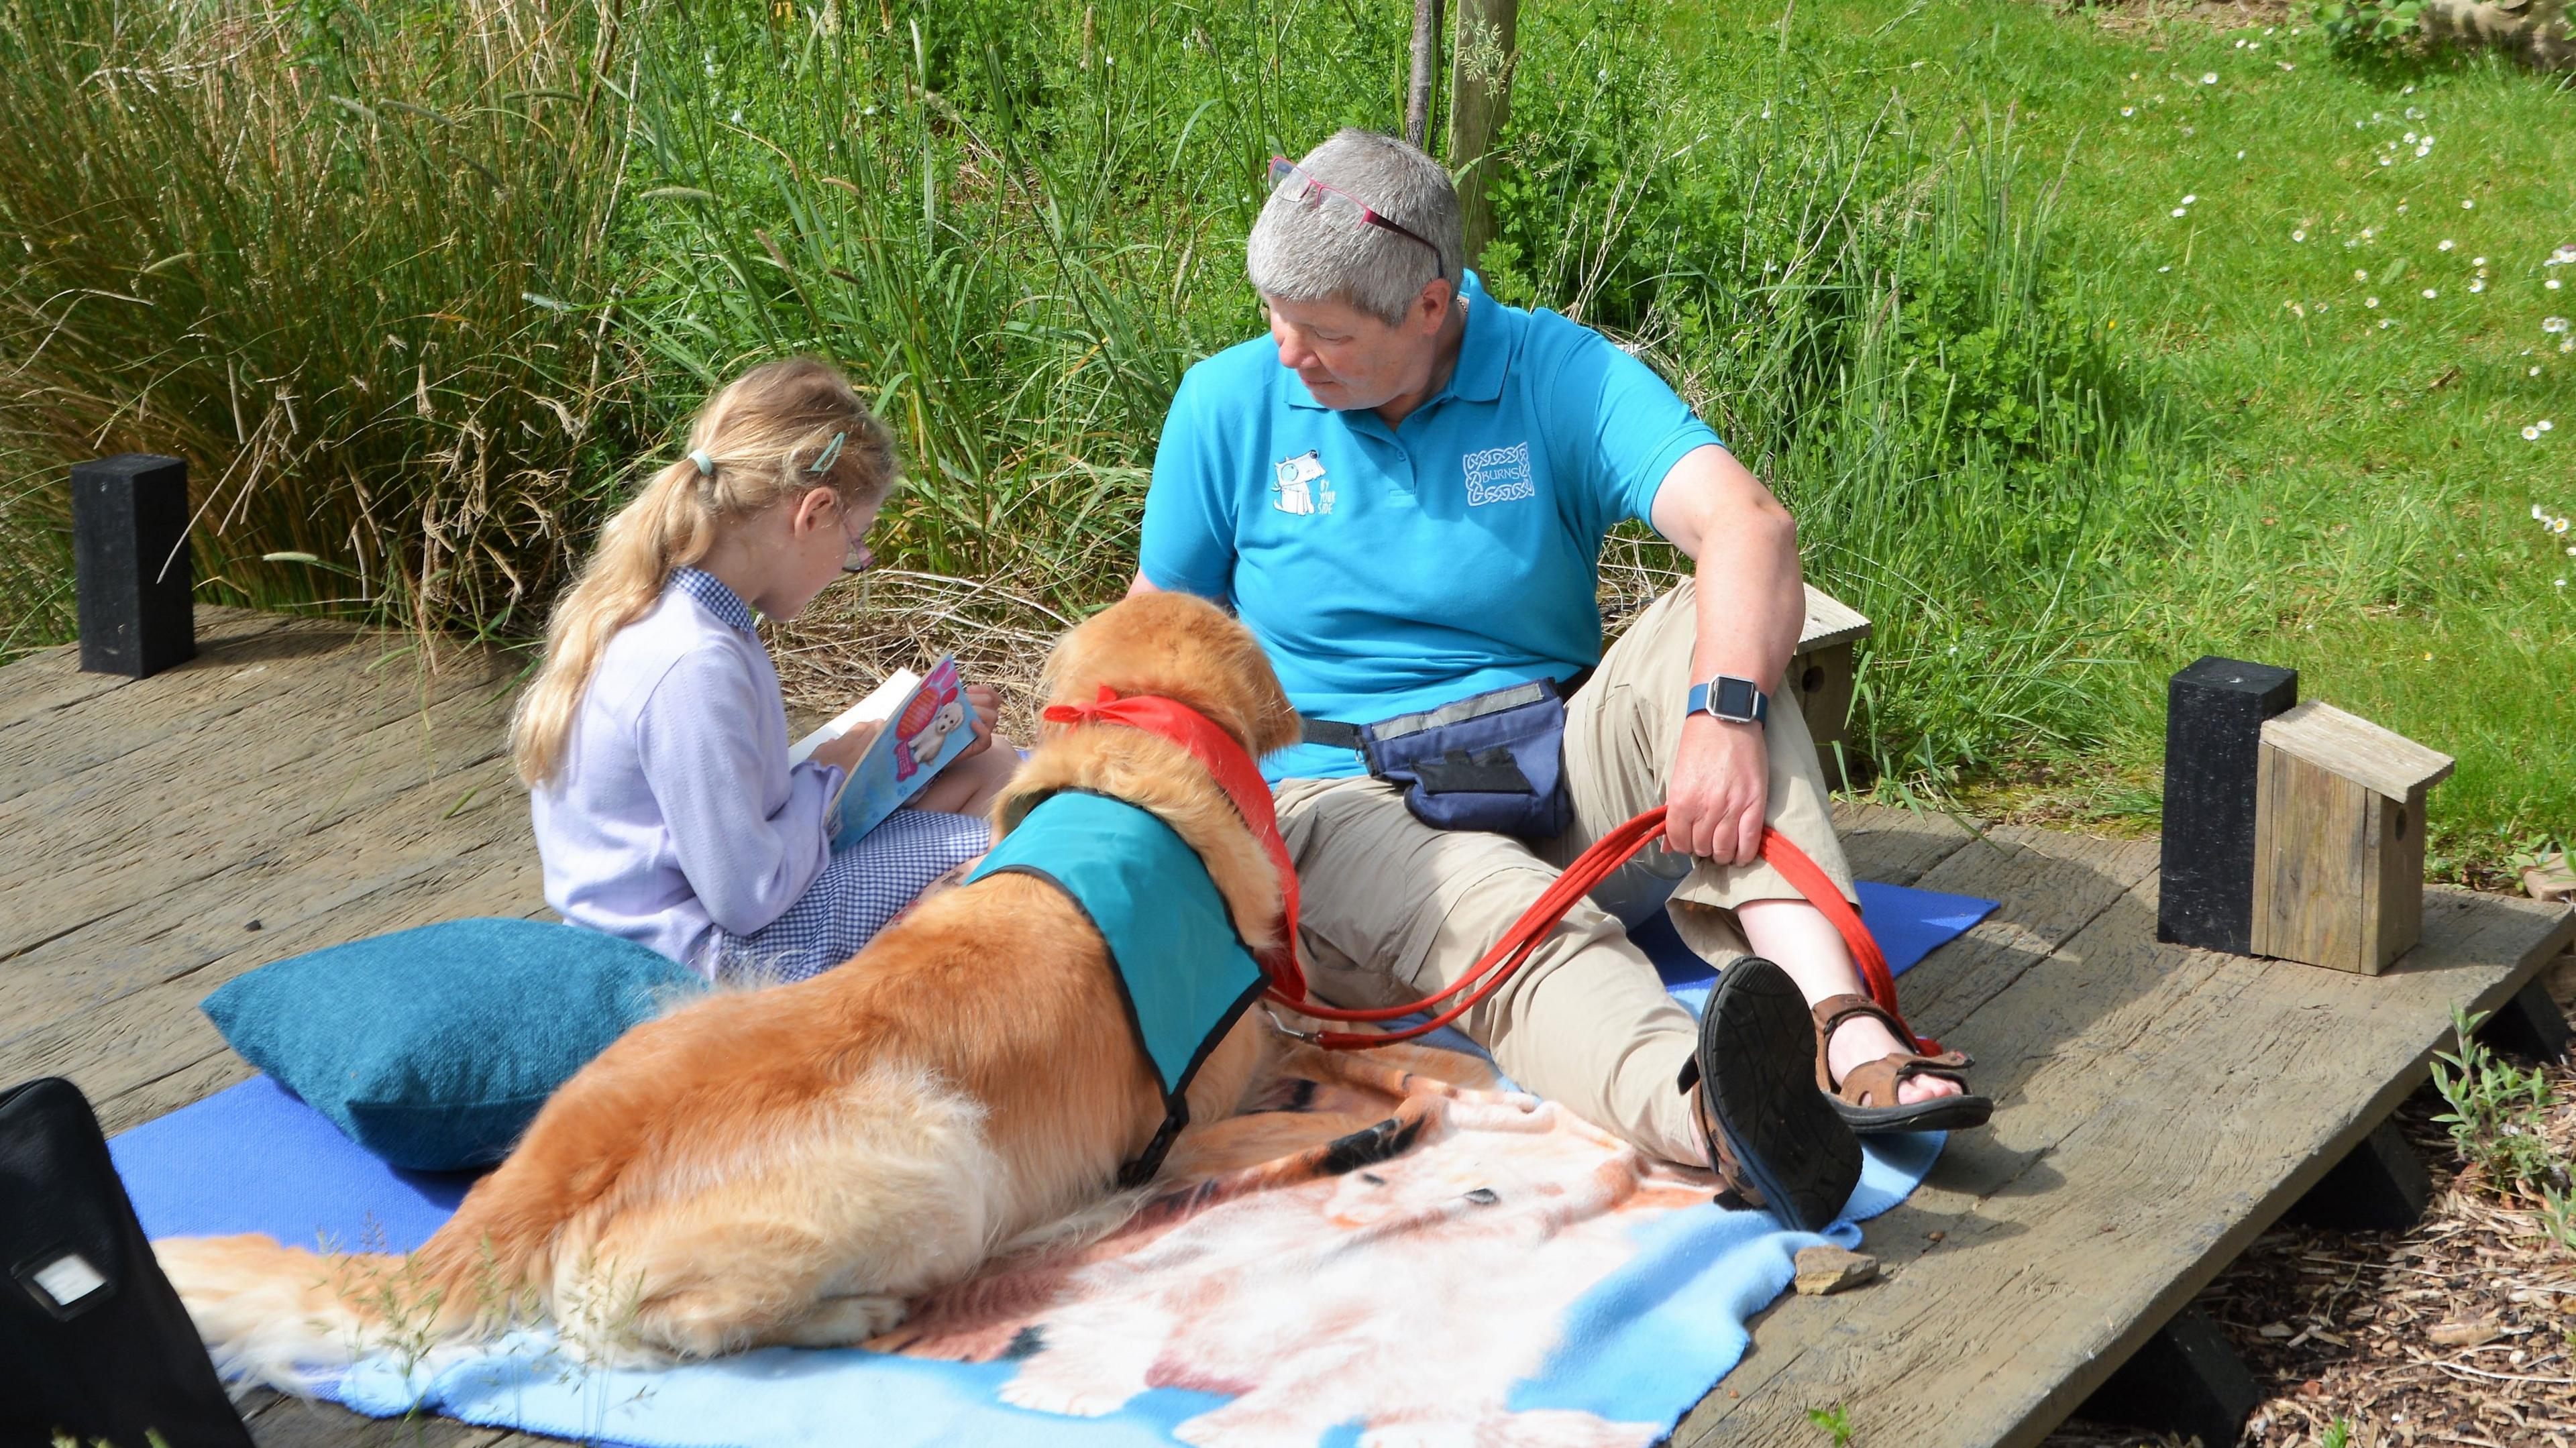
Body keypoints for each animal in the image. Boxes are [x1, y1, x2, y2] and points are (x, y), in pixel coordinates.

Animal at [150, 592, 1298, 1381]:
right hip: (943, 1159)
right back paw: (861, 1312)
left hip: (683, 1009)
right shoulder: (1223, 1076)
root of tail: (542, 1178)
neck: (1130, 758)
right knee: (636, 1327)